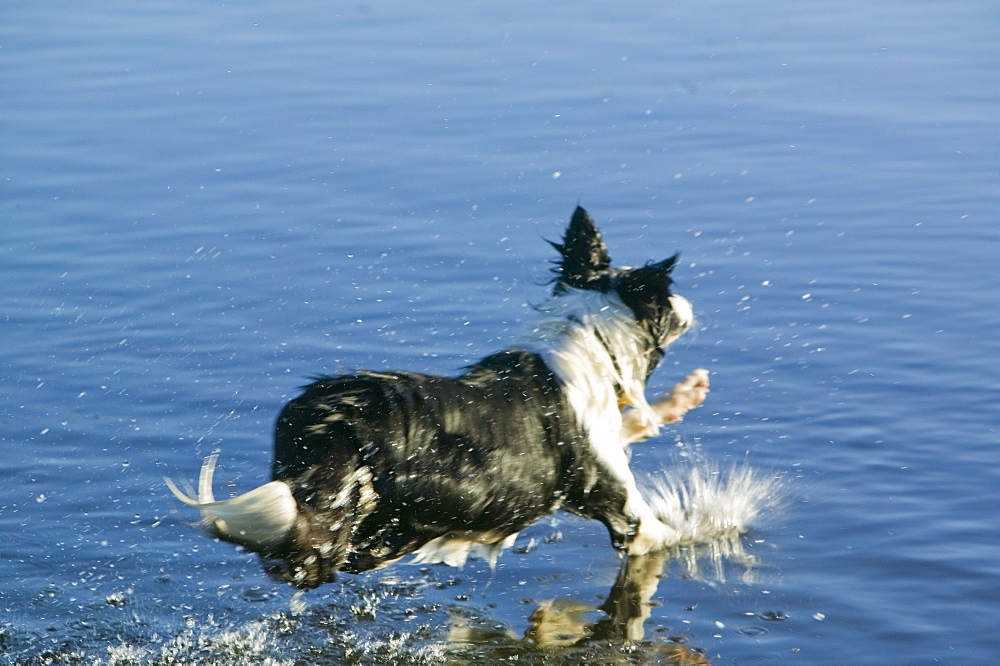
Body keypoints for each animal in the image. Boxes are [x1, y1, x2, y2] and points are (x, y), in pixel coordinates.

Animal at [168, 206, 708, 588]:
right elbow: (677, 532)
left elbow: (634, 421)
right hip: (347, 527)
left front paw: (685, 394)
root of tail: (332, 413)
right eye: (669, 296)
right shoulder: (623, 510)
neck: (587, 335)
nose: (690, 303)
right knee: (302, 555)